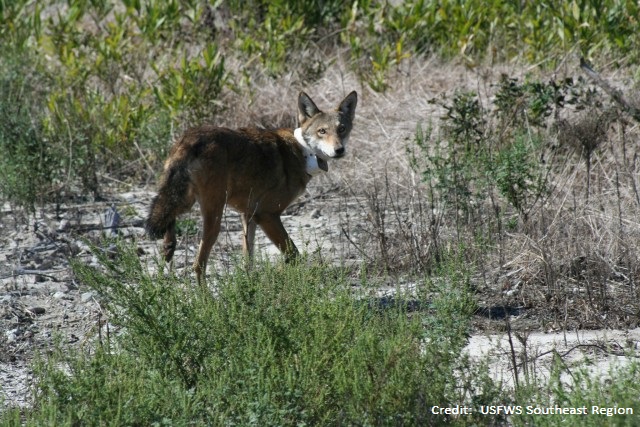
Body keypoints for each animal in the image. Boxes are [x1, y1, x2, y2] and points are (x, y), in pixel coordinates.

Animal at [146, 91, 358, 283]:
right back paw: (204, 299)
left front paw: (250, 285)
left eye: (342, 129)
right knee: (198, 265)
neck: (304, 152)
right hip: (213, 219)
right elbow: (293, 255)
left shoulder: (248, 215)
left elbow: (248, 261)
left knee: (168, 219)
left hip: (185, 202)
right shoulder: (267, 214)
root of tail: (190, 138)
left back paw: (168, 247)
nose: (339, 150)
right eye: (322, 131)